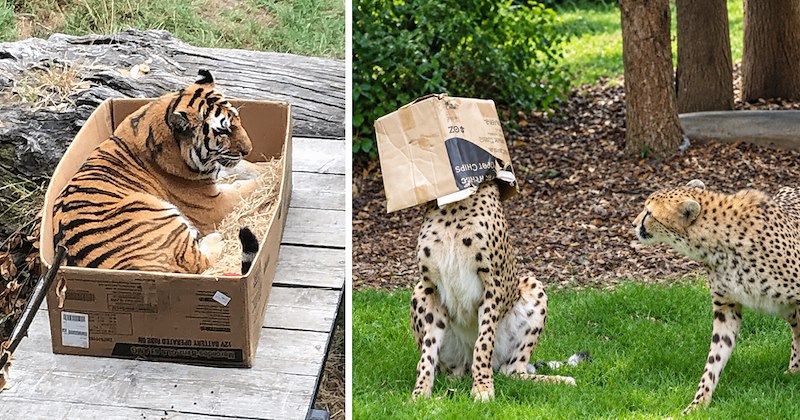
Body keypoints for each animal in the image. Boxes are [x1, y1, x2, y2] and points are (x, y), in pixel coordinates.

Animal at [53, 70, 260, 274]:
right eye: (223, 131)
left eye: (237, 119)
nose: (248, 149)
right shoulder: (214, 205)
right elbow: (245, 190)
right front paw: (263, 181)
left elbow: (245, 167)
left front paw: (265, 168)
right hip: (149, 207)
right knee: (195, 261)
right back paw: (215, 238)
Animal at [410, 180, 578, 402]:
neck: (453, 207)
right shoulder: (431, 288)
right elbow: (427, 353)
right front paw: (420, 393)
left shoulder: (493, 284)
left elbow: (483, 343)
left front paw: (482, 388)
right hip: (418, 292)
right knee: (453, 373)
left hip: (533, 286)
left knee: (514, 371)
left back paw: (560, 380)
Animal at [633, 179, 800, 413]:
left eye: (649, 213)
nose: (633, 224)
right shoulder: (726, 309)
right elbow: (715, 357)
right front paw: (698, 403)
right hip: (786, 309)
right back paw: (794, 369)